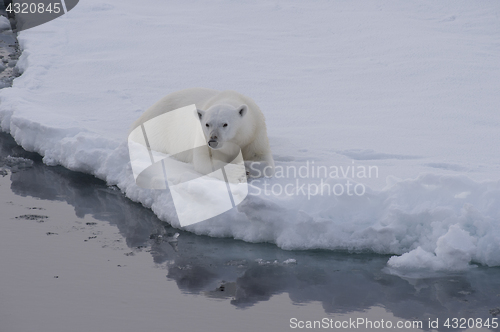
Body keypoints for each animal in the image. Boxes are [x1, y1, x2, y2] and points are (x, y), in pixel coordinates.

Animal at [130, 87, 274, 178]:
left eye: (225, 124)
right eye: (207, 124)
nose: (213, 141)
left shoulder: (254, 134)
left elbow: (263, 158)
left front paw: (249, 165)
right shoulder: (201, 138)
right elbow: (204, 161)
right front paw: (239, 171)